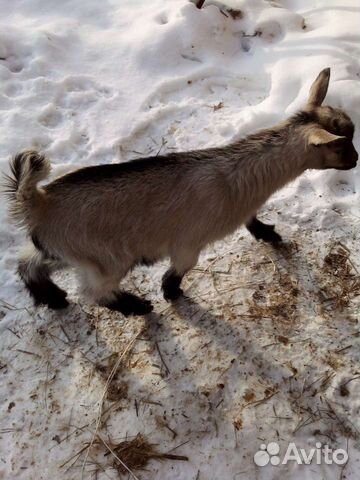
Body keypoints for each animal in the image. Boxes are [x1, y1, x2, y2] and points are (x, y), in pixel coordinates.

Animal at [2, 67, 358, 316]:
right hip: (106, 257)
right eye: (341, 147)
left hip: (65, 249)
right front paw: (171, 293)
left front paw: (267, 233)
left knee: (28, 262)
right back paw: (135, 307)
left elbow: (252, 221)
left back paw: (53, 298)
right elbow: (179, 270)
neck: (240, 176)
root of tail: (39, 201)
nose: (356, 160)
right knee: (95, 293)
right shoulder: (188, 243)